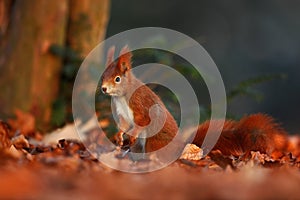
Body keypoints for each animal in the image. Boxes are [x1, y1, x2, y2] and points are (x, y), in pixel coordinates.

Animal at [101, 46, 288, 157]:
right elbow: (124, 125)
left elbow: (143, 121)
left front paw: (131, 135)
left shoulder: (139, 104)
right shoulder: (121, 112)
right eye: (103, 75)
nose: (103, 88)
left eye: (117, 79)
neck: (121, 96)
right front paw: (119, 136)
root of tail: (180, 146)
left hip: (155, 141)